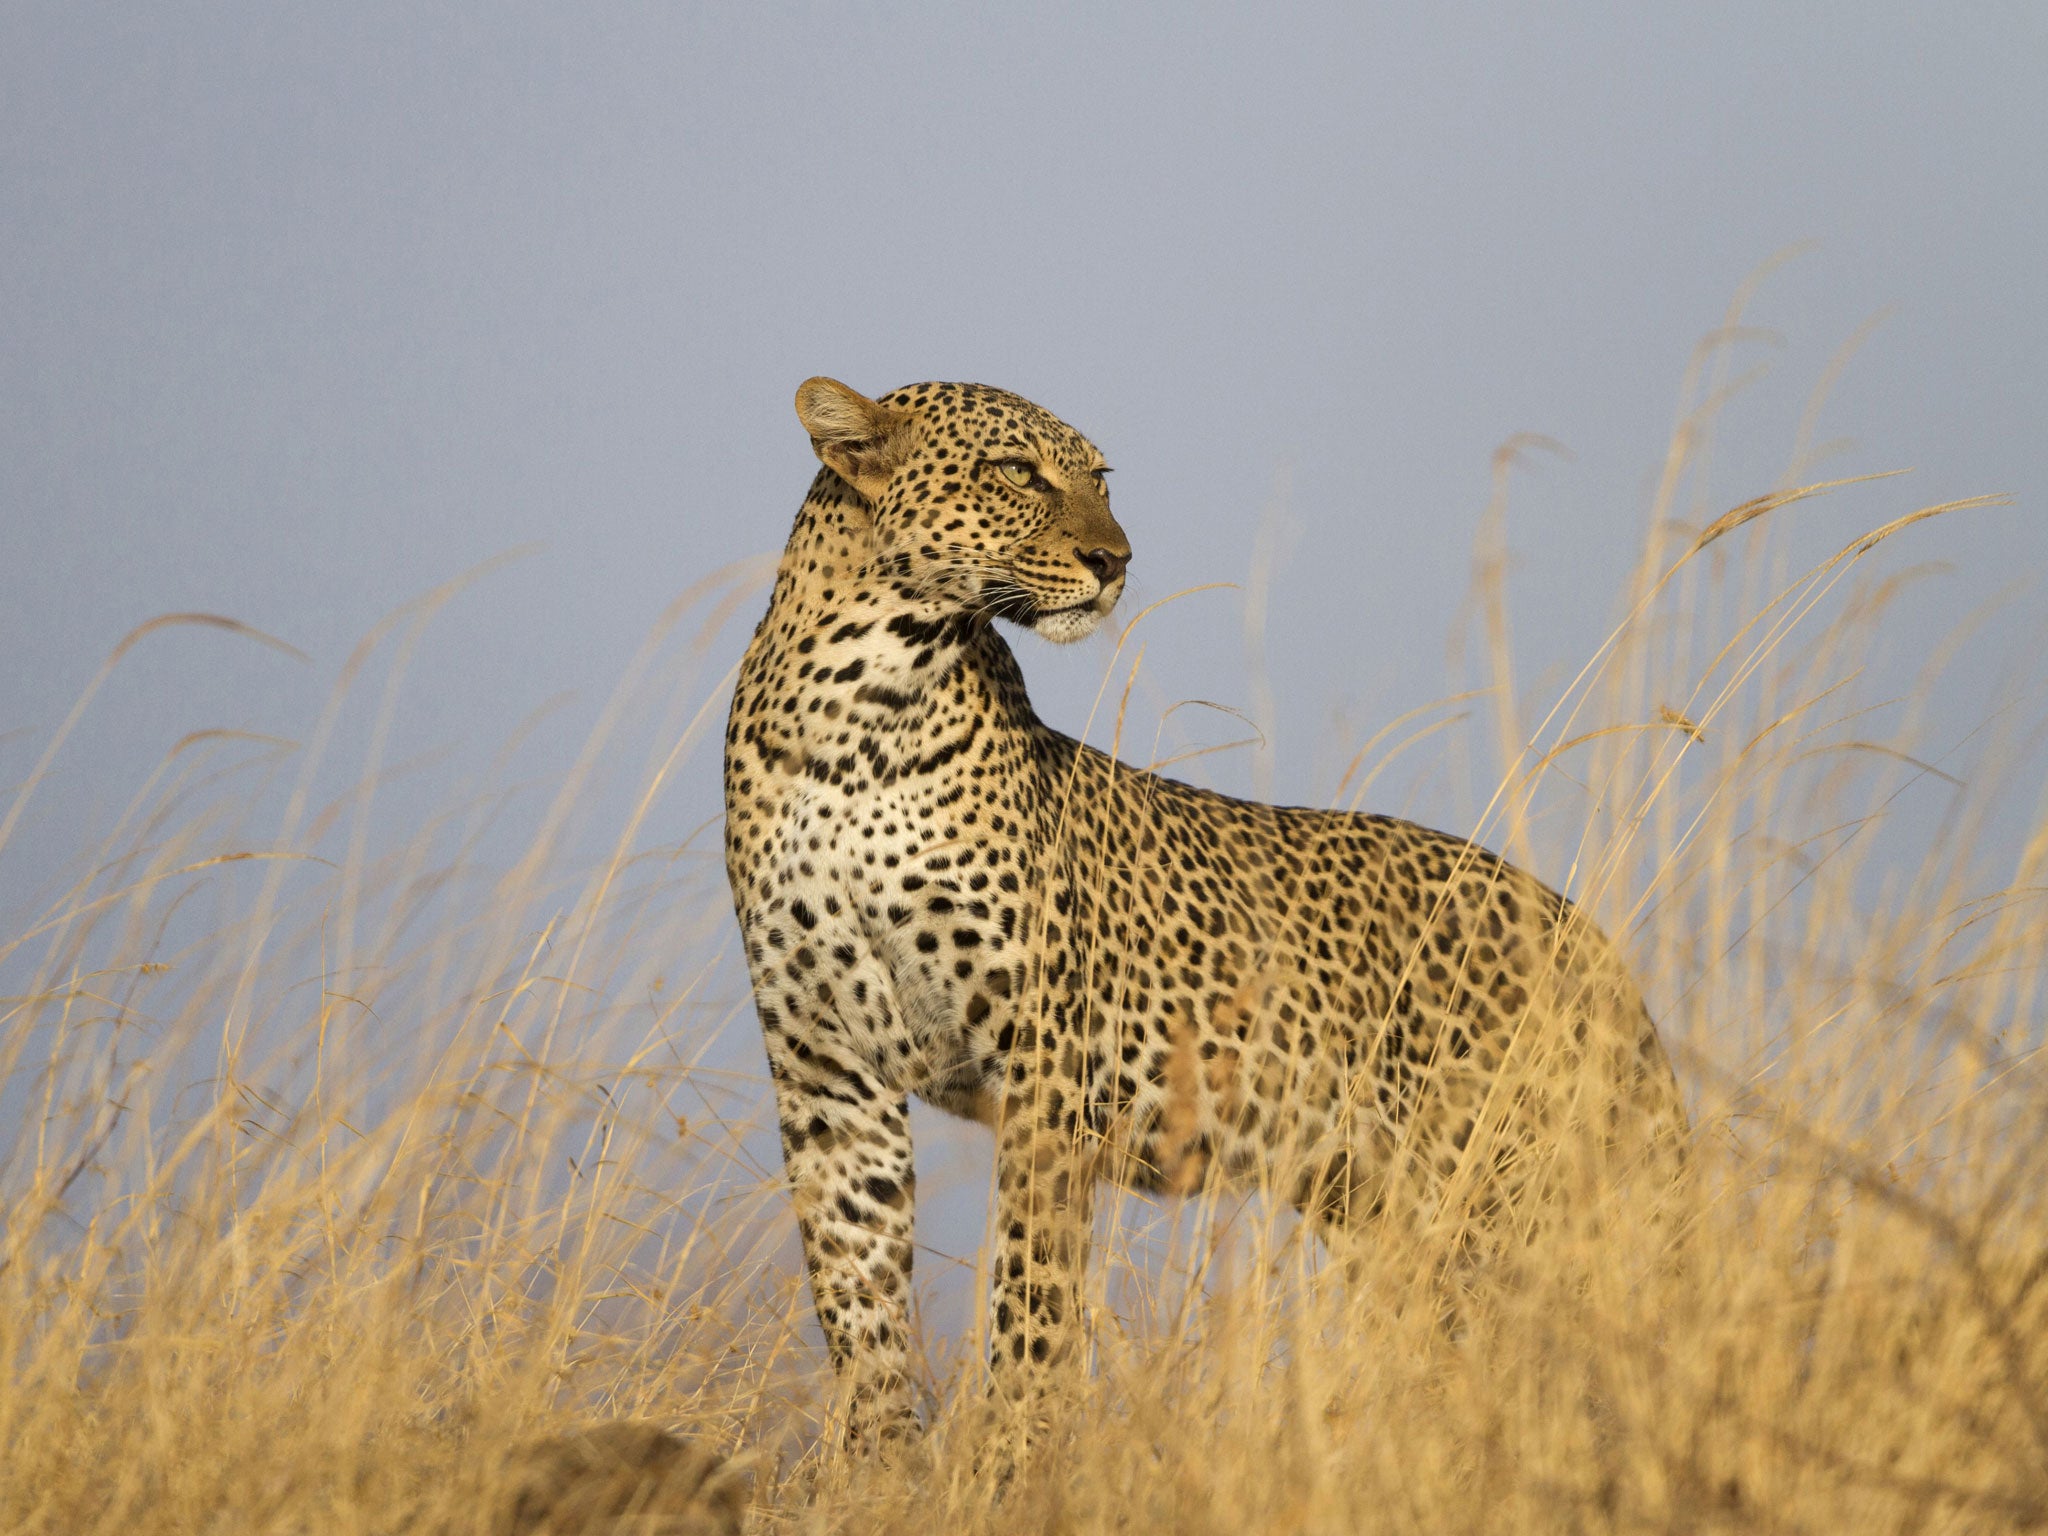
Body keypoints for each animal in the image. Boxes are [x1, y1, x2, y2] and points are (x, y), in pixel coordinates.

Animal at [720, 378, 1679, 1449]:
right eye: (1015, 471)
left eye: (1098, 477)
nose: (1115, 561)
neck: (859, 714)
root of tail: (1594, 945)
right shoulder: (827, 1071)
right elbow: (858, 1290)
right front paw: (878, 1458)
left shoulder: (1042, 1060)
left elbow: (1033, 1284)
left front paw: (1019, 1449)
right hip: (1394, 1217)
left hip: (1513, 1191)